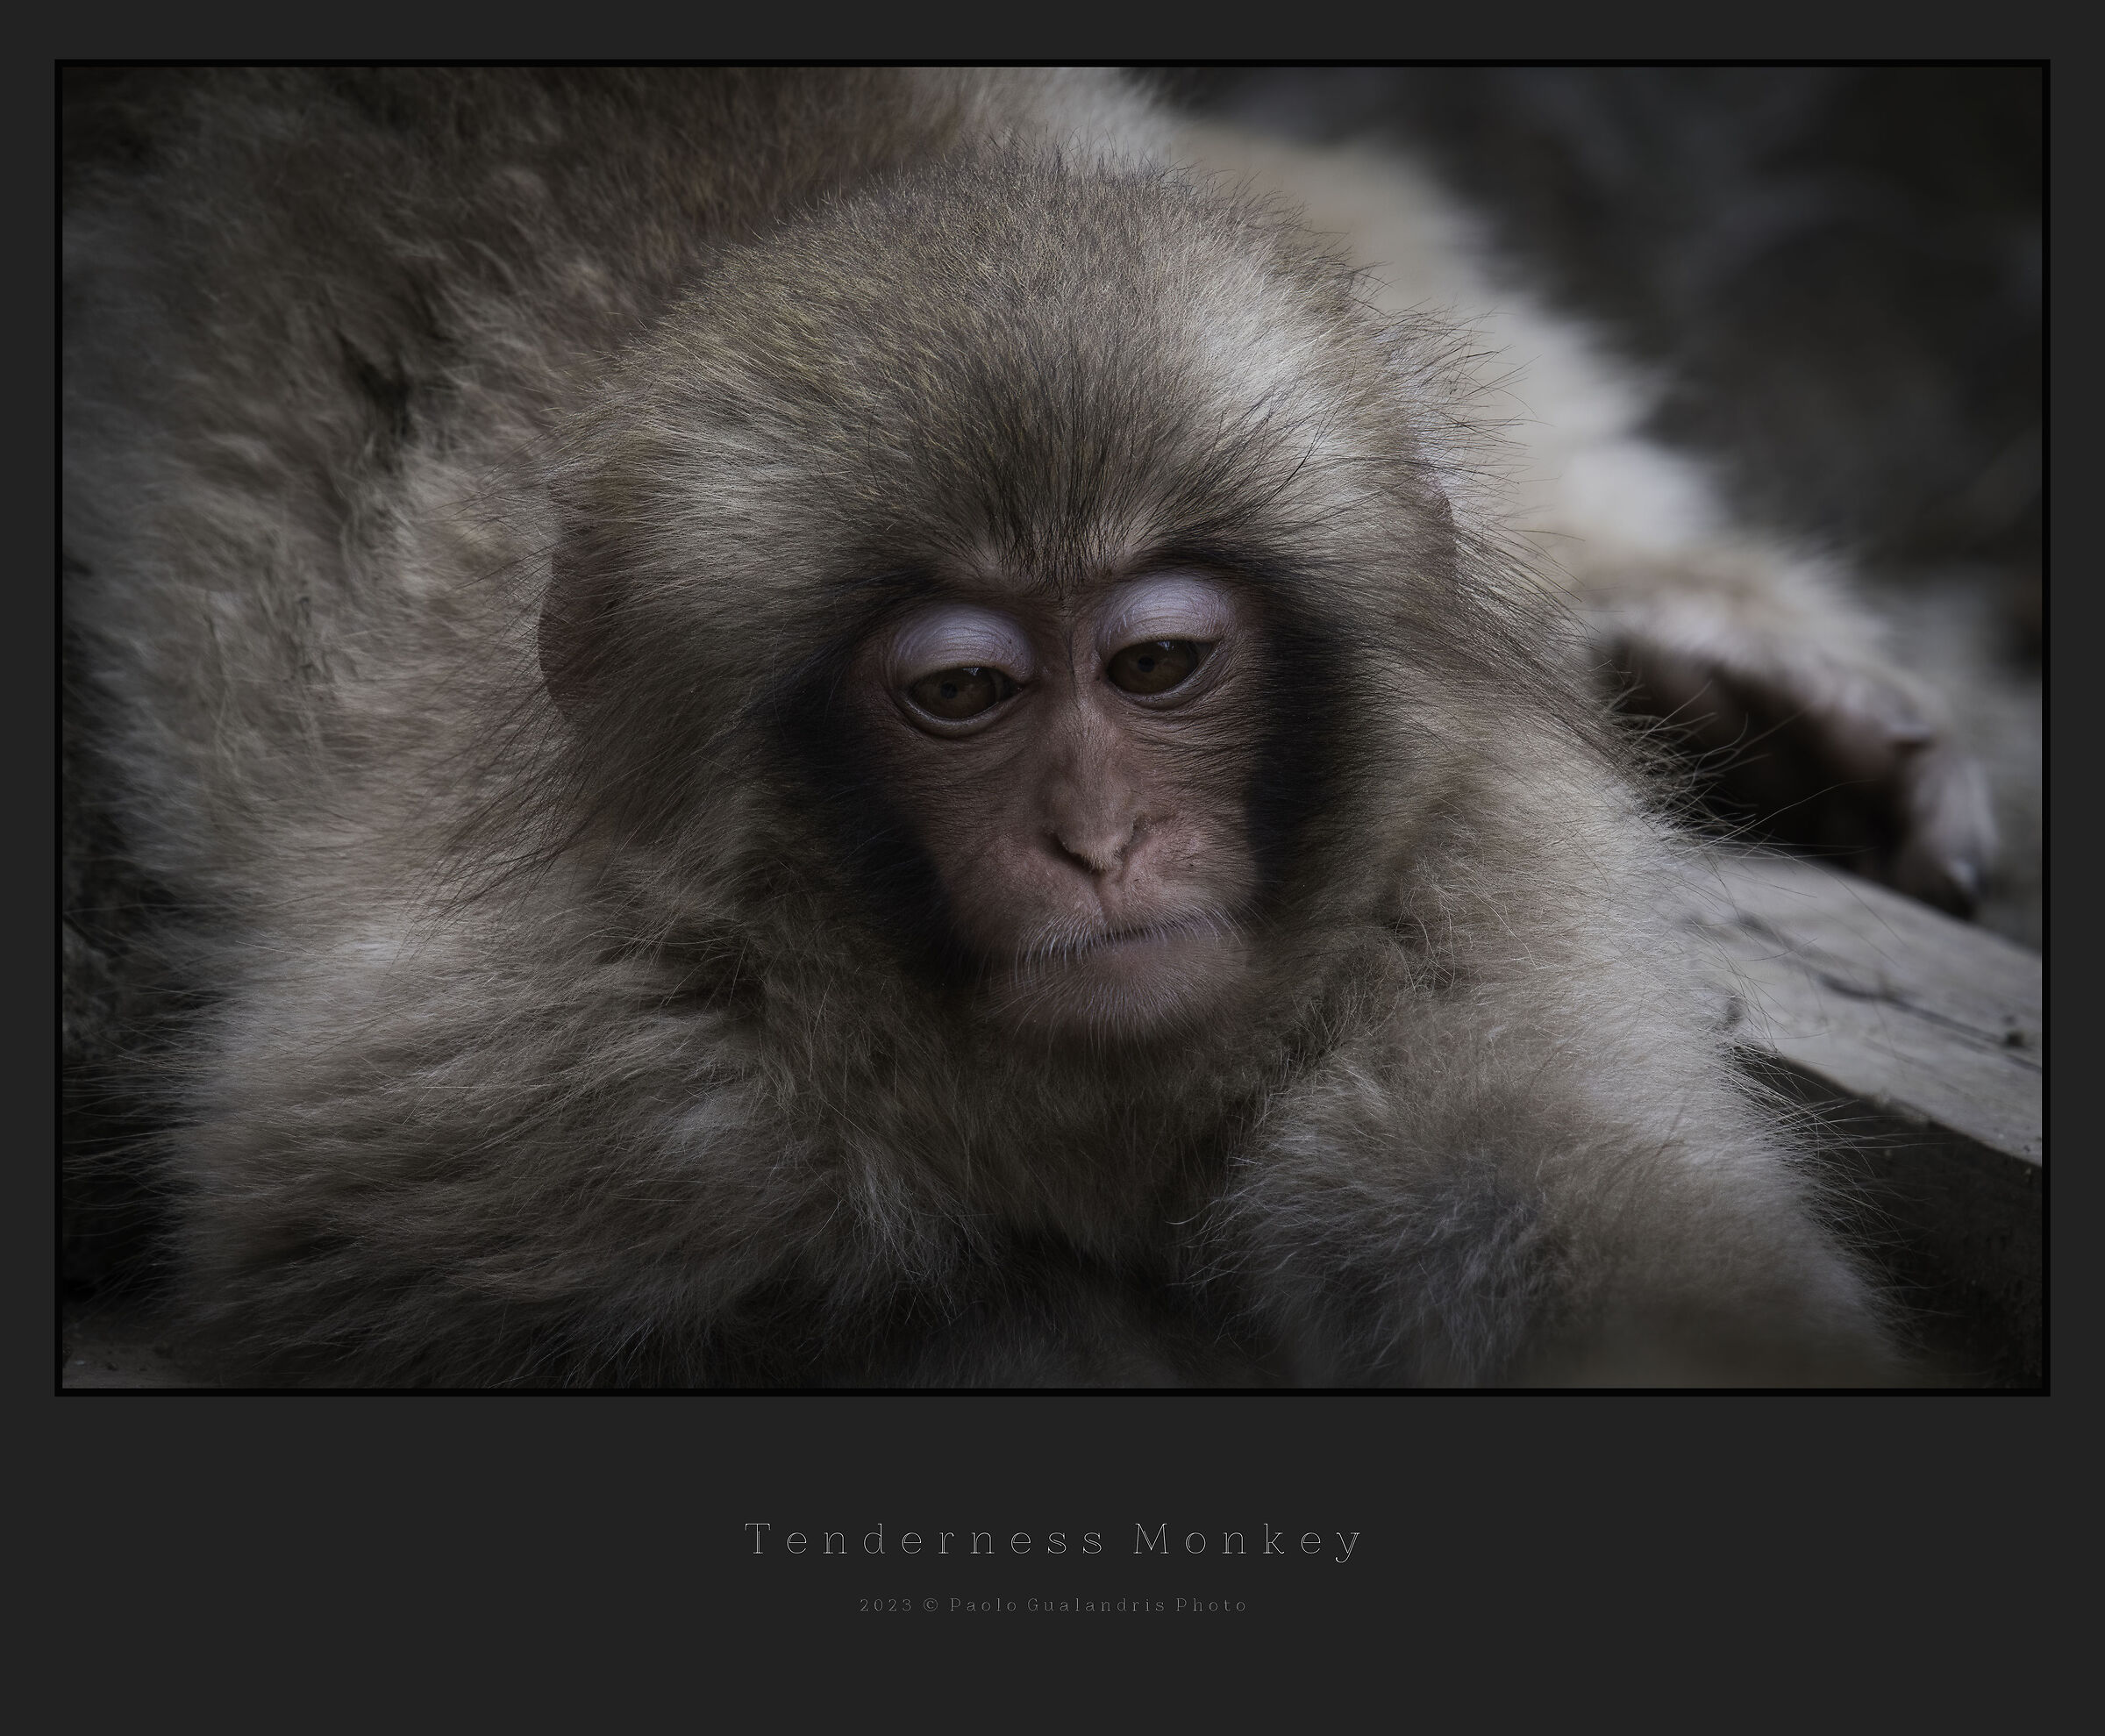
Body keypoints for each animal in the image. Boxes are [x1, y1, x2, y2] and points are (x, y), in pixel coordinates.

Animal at [62, 66, 1935, 1386]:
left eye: (1158, 663)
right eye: (961, 693)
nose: (1099, 841)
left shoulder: (1453, 884)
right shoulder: (555, 1053)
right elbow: (364, 1272)